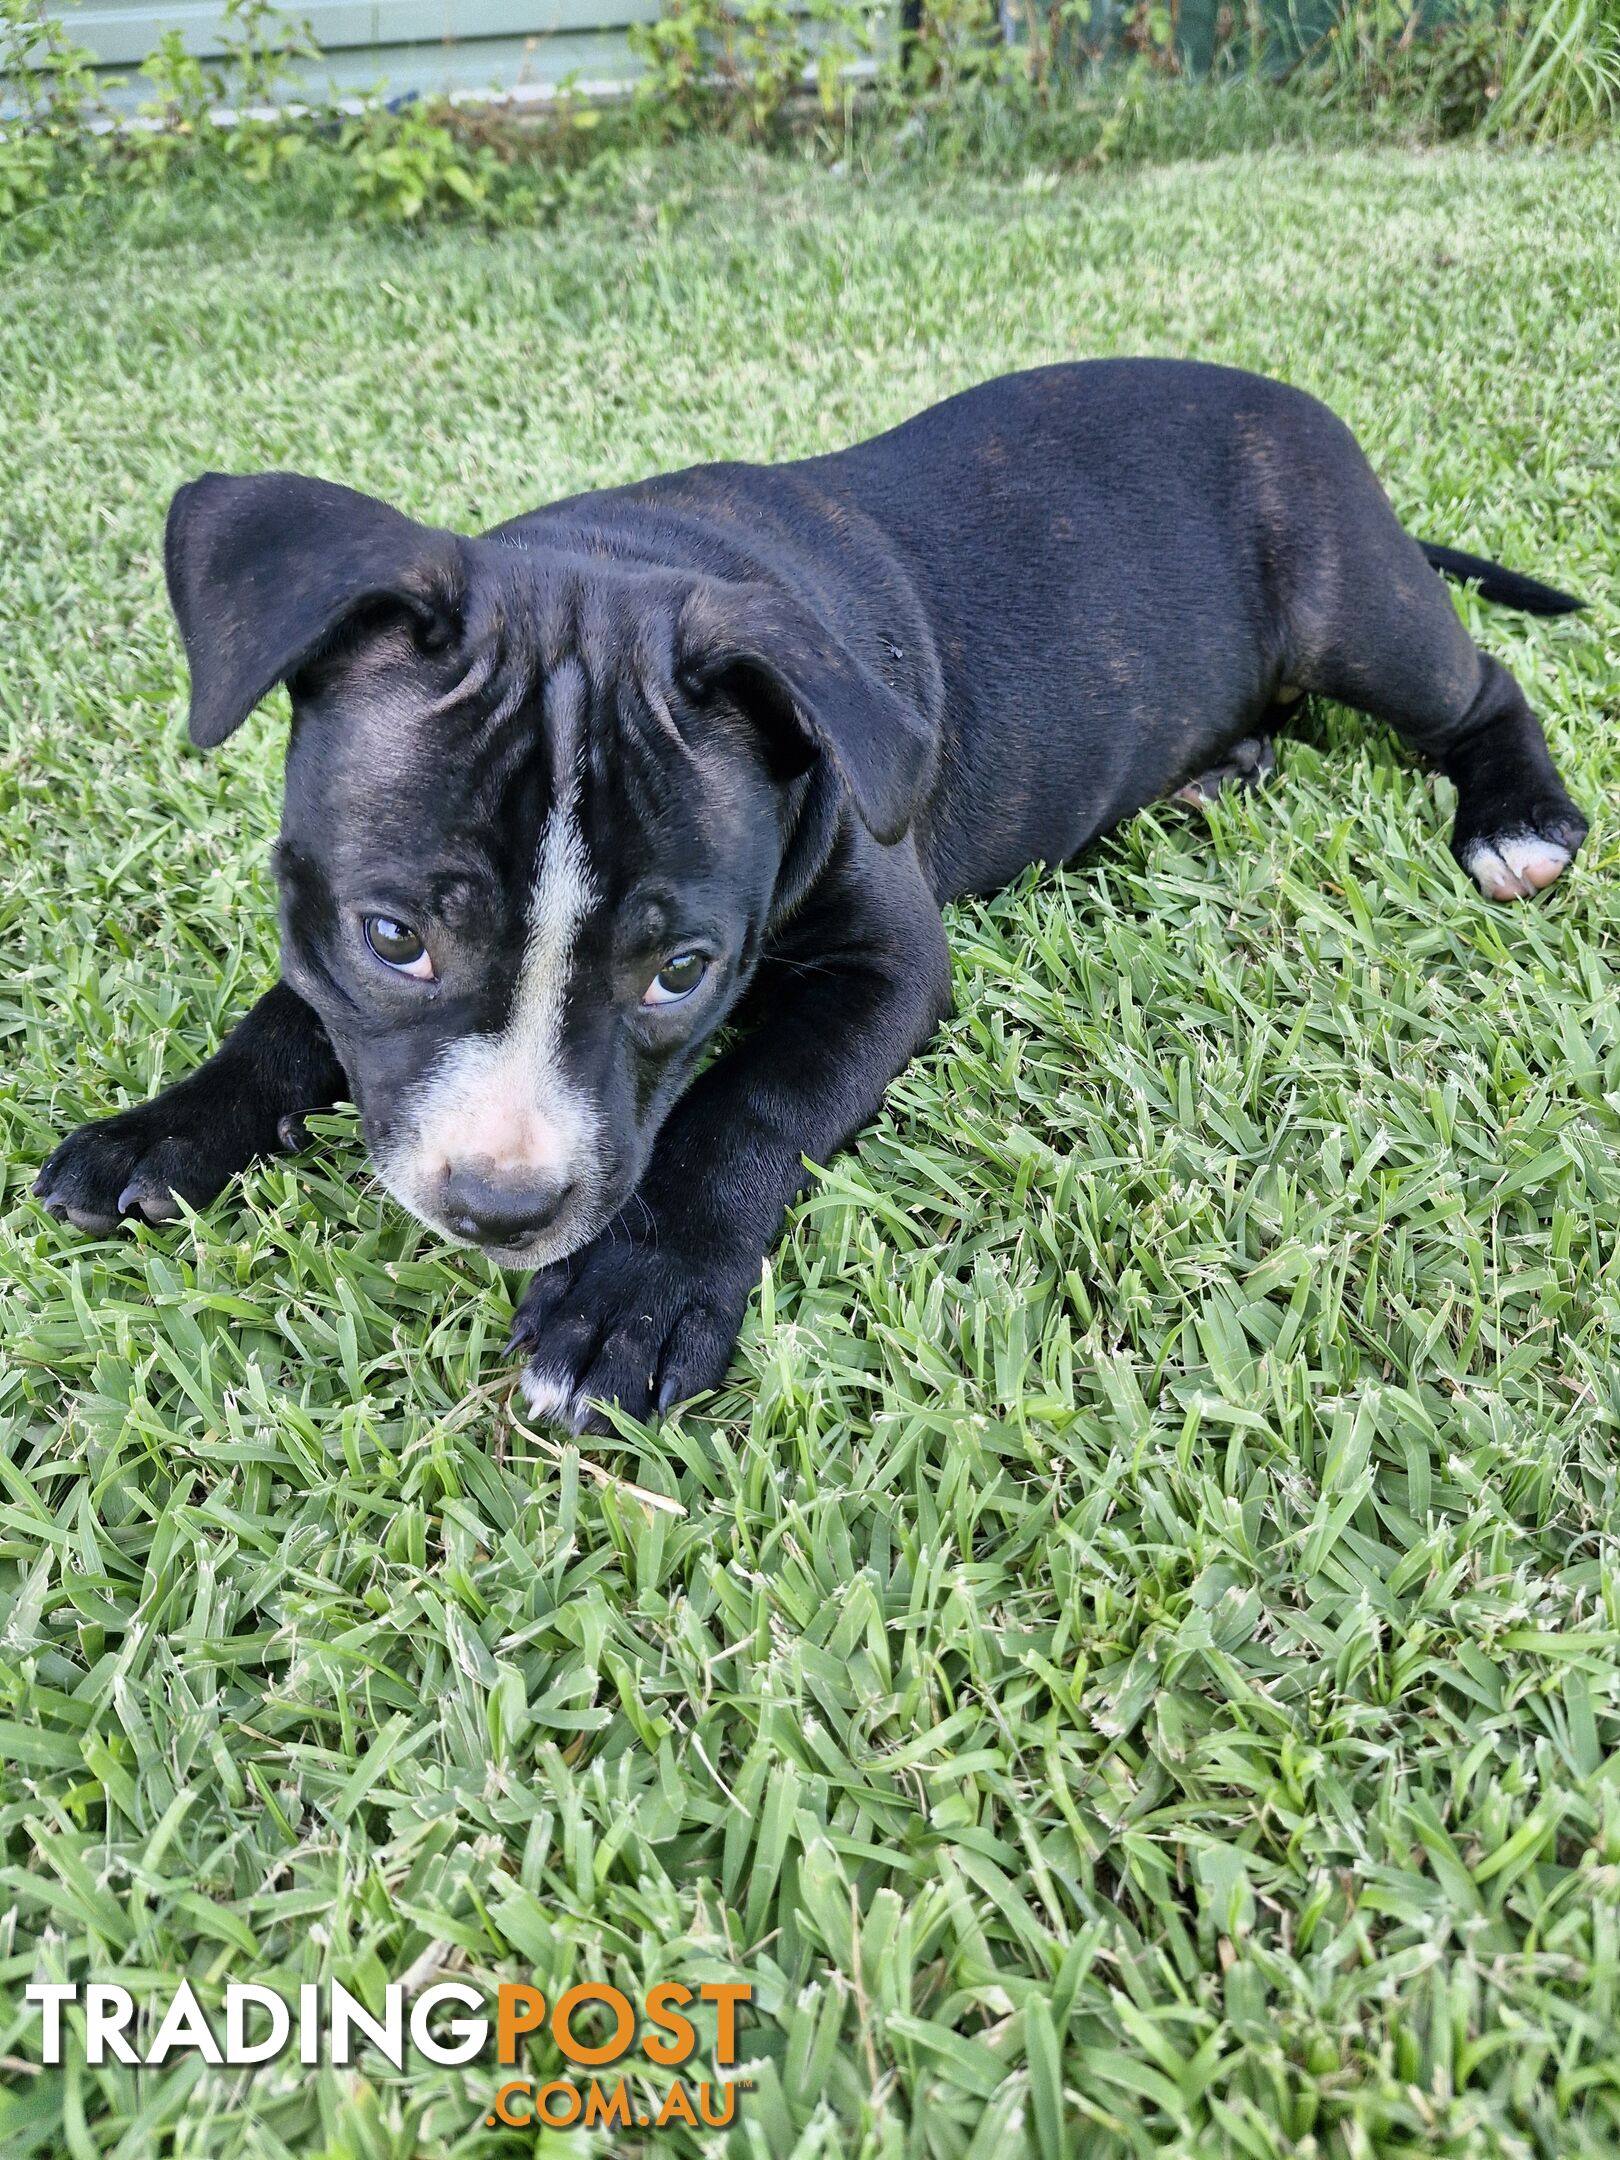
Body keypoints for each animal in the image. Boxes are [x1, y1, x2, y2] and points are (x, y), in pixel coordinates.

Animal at [31, 362, 1589, 1425]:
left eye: (680, 973)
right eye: (394, 936)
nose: (503, 1206)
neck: (616, 568)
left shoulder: (884, 967)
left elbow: (748, 1099)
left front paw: (635, 1297)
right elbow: (288, 1019)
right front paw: (162, 1129)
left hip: (1352, 606)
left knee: (1482, 685)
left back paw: (1517, 819)